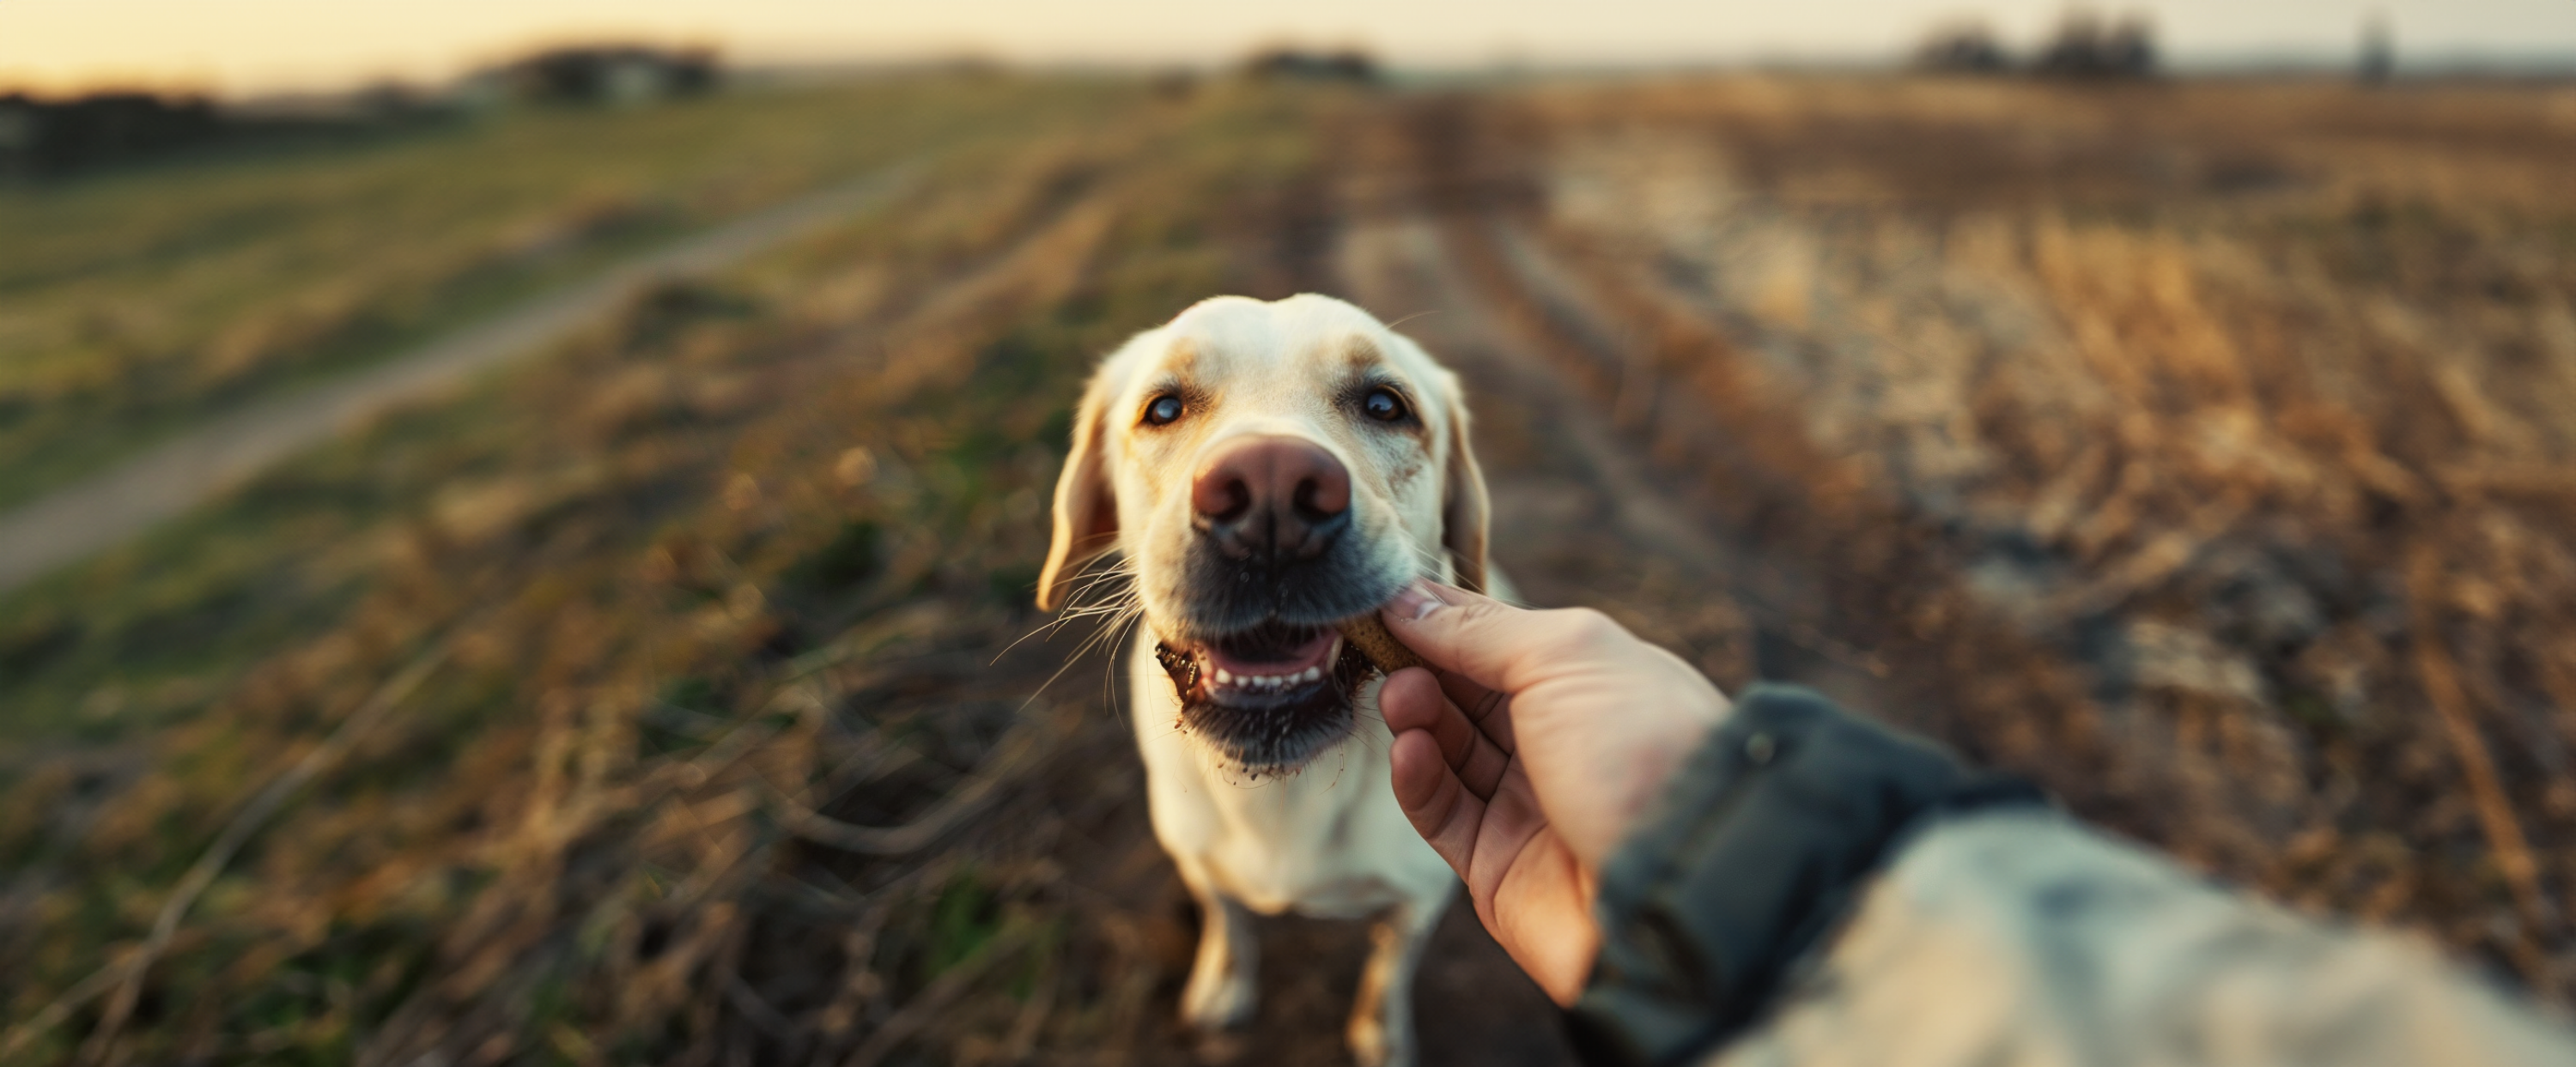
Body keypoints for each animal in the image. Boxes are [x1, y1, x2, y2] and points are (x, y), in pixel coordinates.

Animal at [1041, 294, 1504, 1067]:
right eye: (1163, 408)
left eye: (1386, 404)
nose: (1271, 488)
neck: (1286, 790)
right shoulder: (1198, 862)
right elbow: (1229, 921)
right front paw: (1224, 984)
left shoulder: (1419, 898)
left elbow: (1389, 965)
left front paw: (1381, 1031)